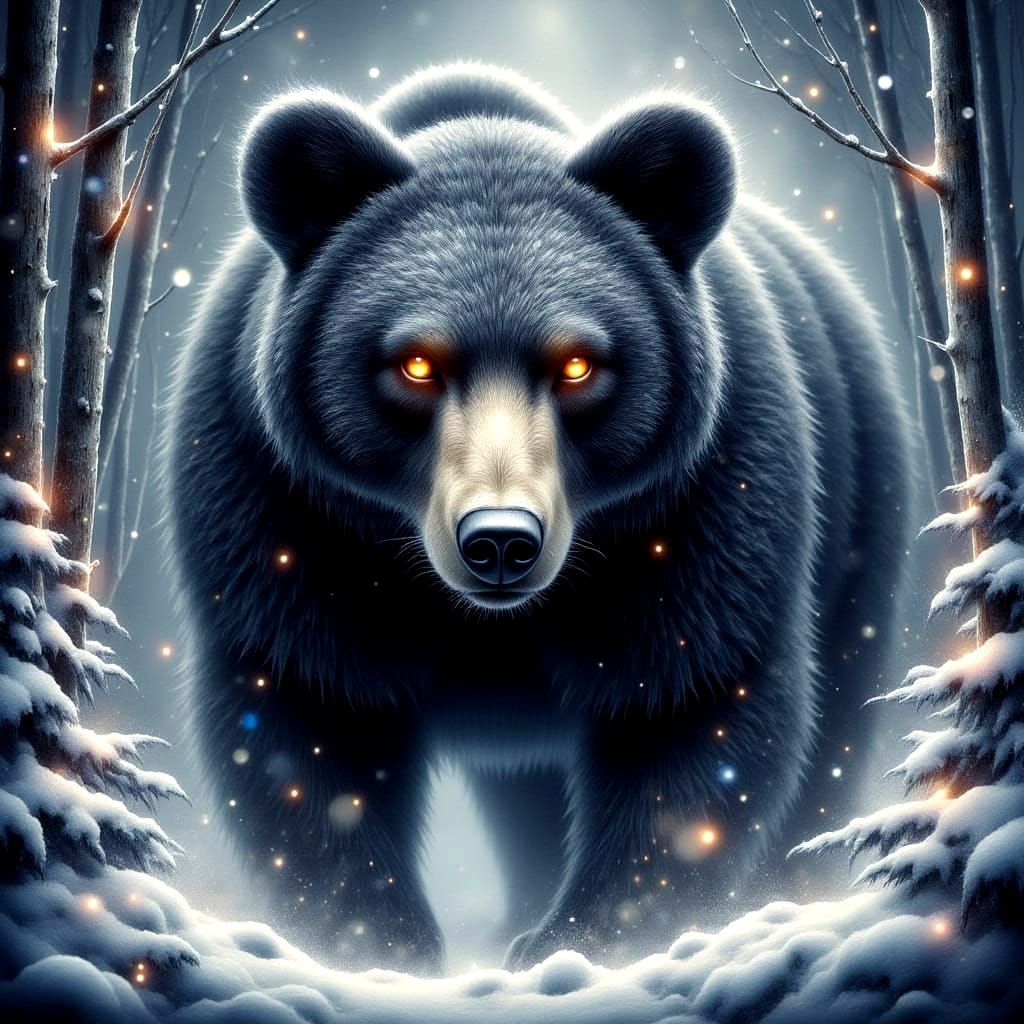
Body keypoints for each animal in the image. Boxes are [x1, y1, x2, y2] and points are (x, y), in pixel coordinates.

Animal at [164, 64, 911, 973]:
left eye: (579, 362)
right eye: (416, 362)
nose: (499, 542)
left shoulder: (704, 504)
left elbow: (685, 704)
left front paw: (586, 935)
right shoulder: (281, 509)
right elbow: (309, 710)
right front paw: (381, 939)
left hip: (860, 502)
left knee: (832, 725)